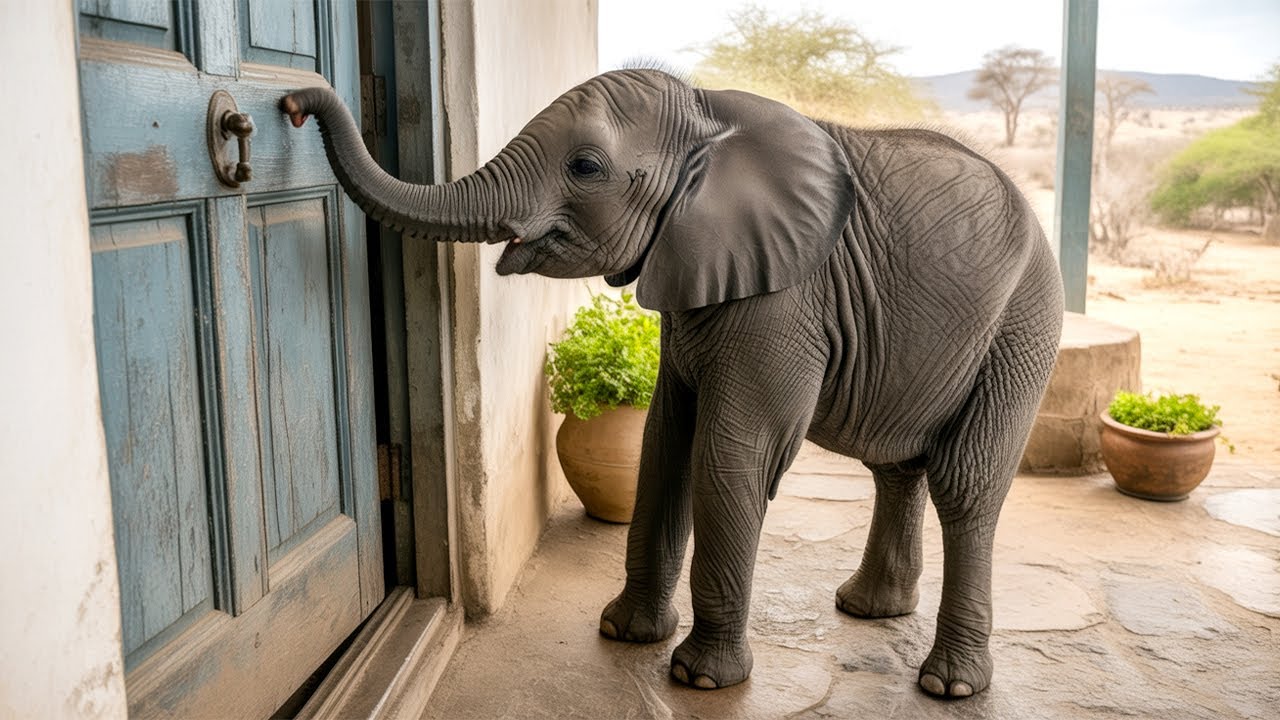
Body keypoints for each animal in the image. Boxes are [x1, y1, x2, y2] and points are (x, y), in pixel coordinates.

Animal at [281, 67, 1064, 698]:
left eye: (586, 166)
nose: (287, 104)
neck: (707, 116)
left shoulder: (785, 300)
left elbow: (729, 453)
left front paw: (699, 678)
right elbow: (665, 441)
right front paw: (624, 633)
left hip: (1023, 324)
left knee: (965, 484)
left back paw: (949, 684)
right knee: (897, 465)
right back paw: (869, 611)